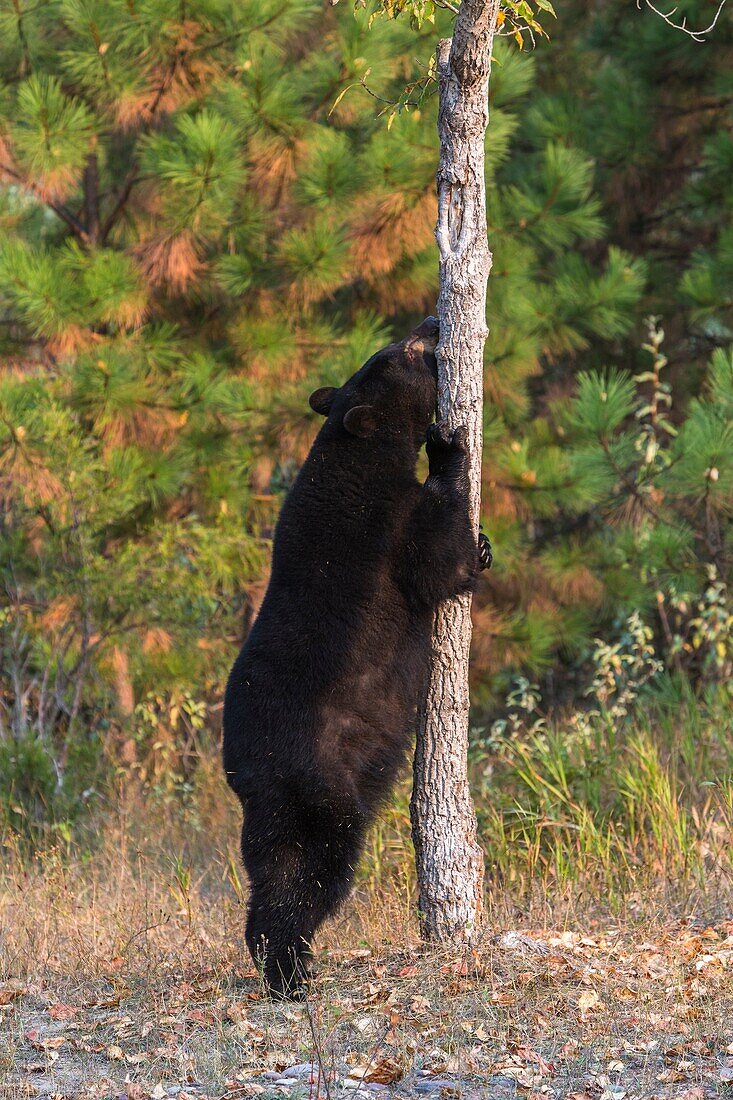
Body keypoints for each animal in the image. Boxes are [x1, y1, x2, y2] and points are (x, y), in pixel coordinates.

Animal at [220, 319, 488, 998]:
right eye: (407, 355)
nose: (433, 324)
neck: (355, 453)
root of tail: (248, 774)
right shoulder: (385, 523)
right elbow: (435, 565)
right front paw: (449, 451)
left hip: (279, 810)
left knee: (273, 871)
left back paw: (270, 954)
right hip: (323, 784)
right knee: (316, 872)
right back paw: (291, 968)